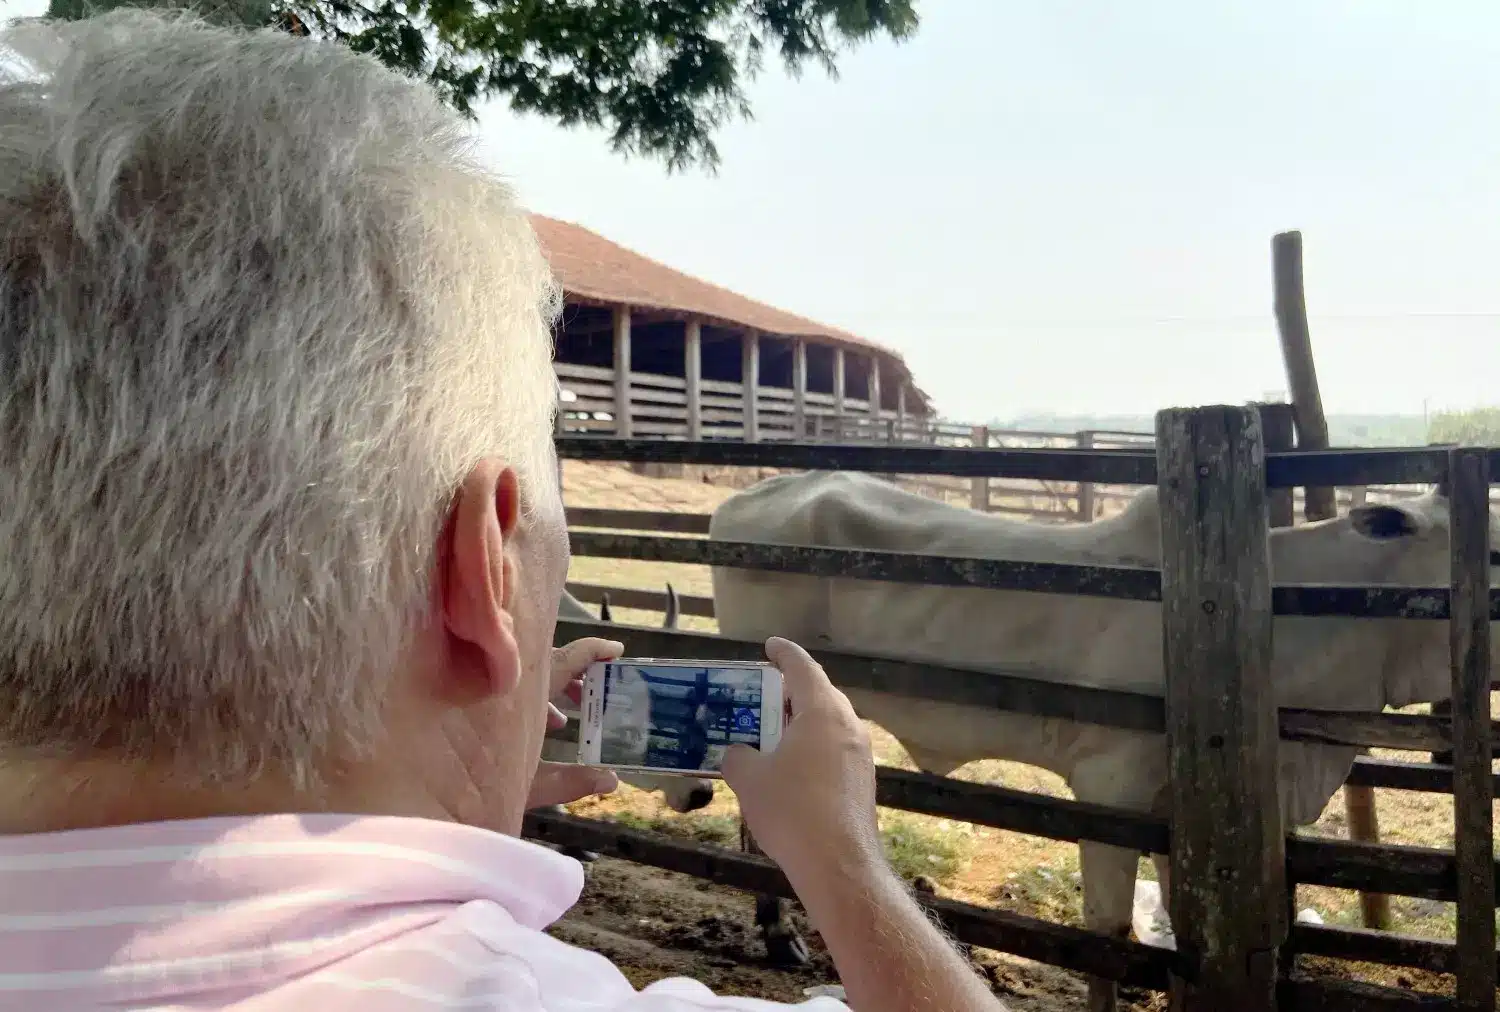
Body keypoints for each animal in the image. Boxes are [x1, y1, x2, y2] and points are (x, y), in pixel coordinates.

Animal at [708, 473, 1494, 1012]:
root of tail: (755, 497)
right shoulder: (1110, 784)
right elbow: (1107, 936)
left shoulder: (1175, 806)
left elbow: (1180, 926)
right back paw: (778, 935)